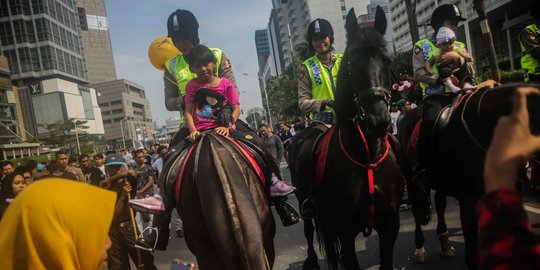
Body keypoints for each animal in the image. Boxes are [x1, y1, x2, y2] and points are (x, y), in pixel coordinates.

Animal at [398, 83, 540, 268]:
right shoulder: (469, 200)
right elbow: (472, 253)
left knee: (440, 203)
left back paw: (444, 243)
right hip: (410, 178)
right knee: (417, 207)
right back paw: (420, 248)